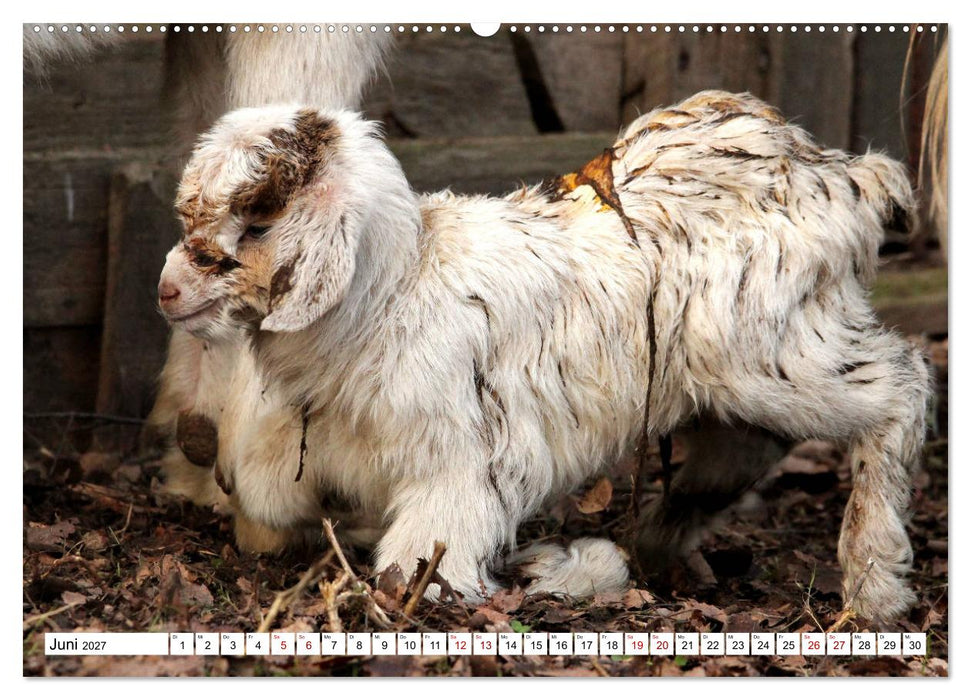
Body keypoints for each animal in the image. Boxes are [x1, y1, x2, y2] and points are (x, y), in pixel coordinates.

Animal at [157, 91, 929, 621]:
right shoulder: (321, 436)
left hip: (771, 347)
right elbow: (264, 491)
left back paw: (875, 583)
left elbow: (417, 563)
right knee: (749, 444)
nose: (167, 290)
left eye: (258, 224)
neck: (396, 291)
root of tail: (848, 176)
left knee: (903, 385)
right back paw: (659, 539)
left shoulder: (467, 465)